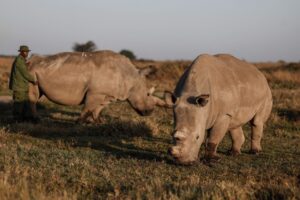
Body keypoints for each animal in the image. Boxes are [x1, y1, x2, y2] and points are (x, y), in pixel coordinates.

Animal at [27, 50, 165, 122]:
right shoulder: (95, 93)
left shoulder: (106, 95)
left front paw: (99, 122)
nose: (149, 112)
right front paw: (79, 123)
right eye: (147, 94)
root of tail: (29, 61)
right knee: (33, 95)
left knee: (38, 95)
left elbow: (98, 109)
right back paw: (36, 119)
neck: (130, 77)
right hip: (31, 72)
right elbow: (88, 108)